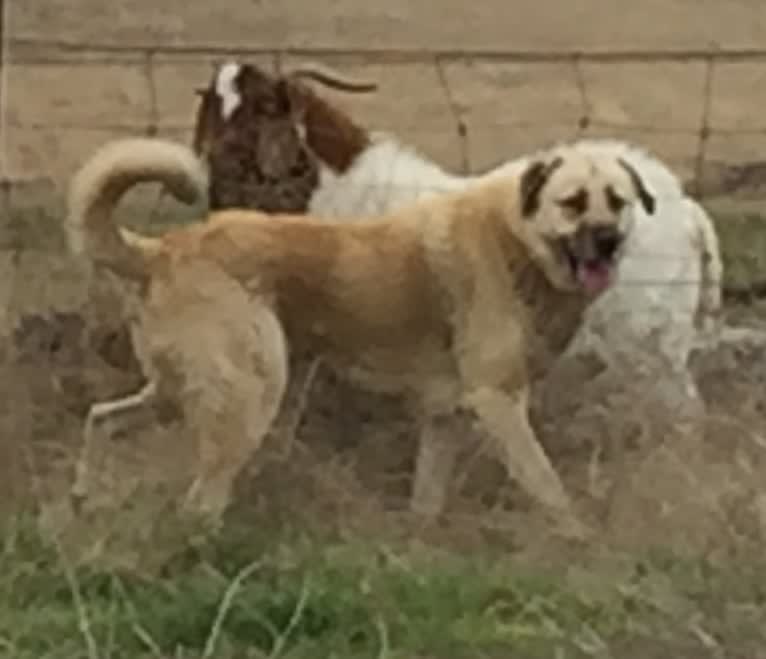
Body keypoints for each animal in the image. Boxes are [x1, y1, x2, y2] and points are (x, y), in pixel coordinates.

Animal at [64, 137, 656, 540]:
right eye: (573, 202)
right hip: (248, 399)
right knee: (200, 502)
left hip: (174, 392)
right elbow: (548, 486)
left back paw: (84, 499)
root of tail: (163, 249)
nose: (607, 241)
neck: (518, 239)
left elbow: (427, 499)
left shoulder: (444, 417)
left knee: (101, 417)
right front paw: (580, 542)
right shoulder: (498, 402)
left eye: (618, 201)